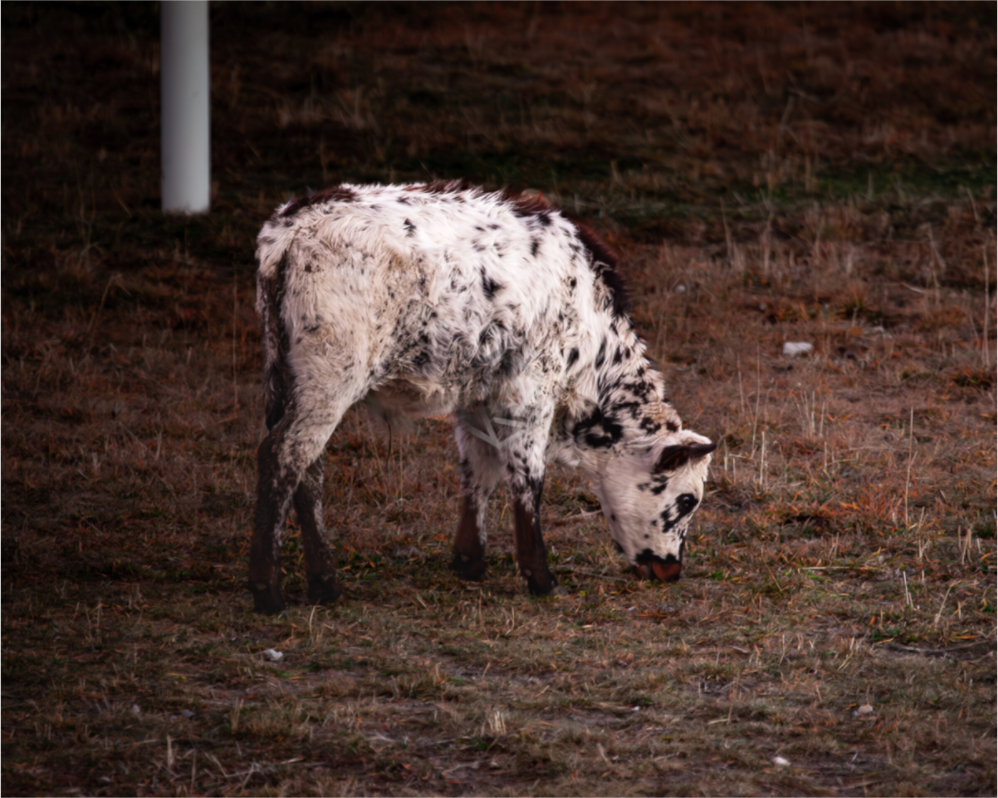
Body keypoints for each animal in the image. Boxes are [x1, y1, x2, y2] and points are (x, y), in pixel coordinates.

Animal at [249, 180, 715, 614]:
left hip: (286, 376)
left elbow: (479, 470)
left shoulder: (477, 396)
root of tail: (291, 227)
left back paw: (324, 584)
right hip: (331, 376)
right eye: (687, 499)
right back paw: (269, 592)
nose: (671, 570)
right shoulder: (531, 391)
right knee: (282, 456)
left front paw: (469, 561)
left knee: (308, 469)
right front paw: (541, 578)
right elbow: (526, 478)